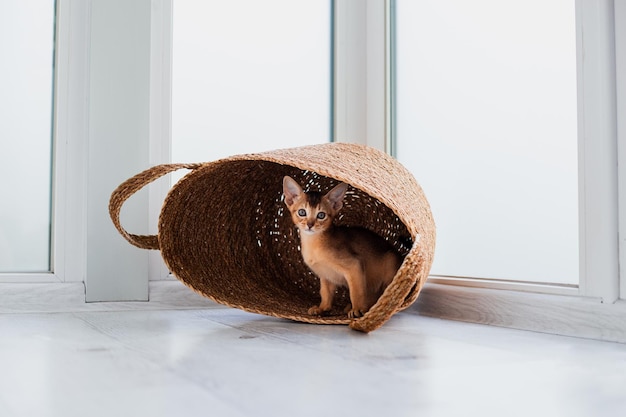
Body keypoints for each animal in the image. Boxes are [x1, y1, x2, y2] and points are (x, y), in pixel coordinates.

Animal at [282, 176, 402, 318]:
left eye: (321, 215)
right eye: (302, 212)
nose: (310, 225)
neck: (314, 243)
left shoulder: (355, 265)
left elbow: (356, 292)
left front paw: (357, 309)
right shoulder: (326, 275)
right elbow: (325, 293)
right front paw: (323, 308)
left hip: (390, 259)